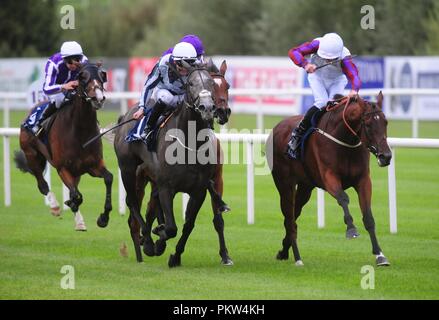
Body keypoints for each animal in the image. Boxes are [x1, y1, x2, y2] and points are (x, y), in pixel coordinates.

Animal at [15, 62, 113, 231]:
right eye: (82, 77)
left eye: (102, 75)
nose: (98, 98)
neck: (80, 131)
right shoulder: (62, 168)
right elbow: (76, 195)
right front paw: (72, 206)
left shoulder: (94, 165)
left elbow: (108, 178)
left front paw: (103, 218)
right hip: (32, 155)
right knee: (42, 184)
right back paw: (55, 207)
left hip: (76, 171)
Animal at [114, 63, 223, 266]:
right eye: (190, 83)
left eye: (211, 82)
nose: (207, 108)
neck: (190, 142)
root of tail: (126, 116)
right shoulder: (167, 187)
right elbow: (172, 228)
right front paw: (157, 241)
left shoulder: (199, 191)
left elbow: (188, 225)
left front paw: (175, 256)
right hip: (128, 168)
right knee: (132, 202)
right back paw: (148, 241)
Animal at [266, 93, 394, 268]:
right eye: (368, 124)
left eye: (385, 122)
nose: (386, 156)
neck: (345, 141)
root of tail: (277, 127)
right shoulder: (329, 177)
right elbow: (343, 198)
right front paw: (351, 229)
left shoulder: (363, 180)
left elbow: (368, 216)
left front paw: (380, 255)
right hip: (285, 184)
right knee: (289, 218)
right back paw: (298, 258)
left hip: (305, 187)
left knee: (293, 215)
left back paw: (284, 250)